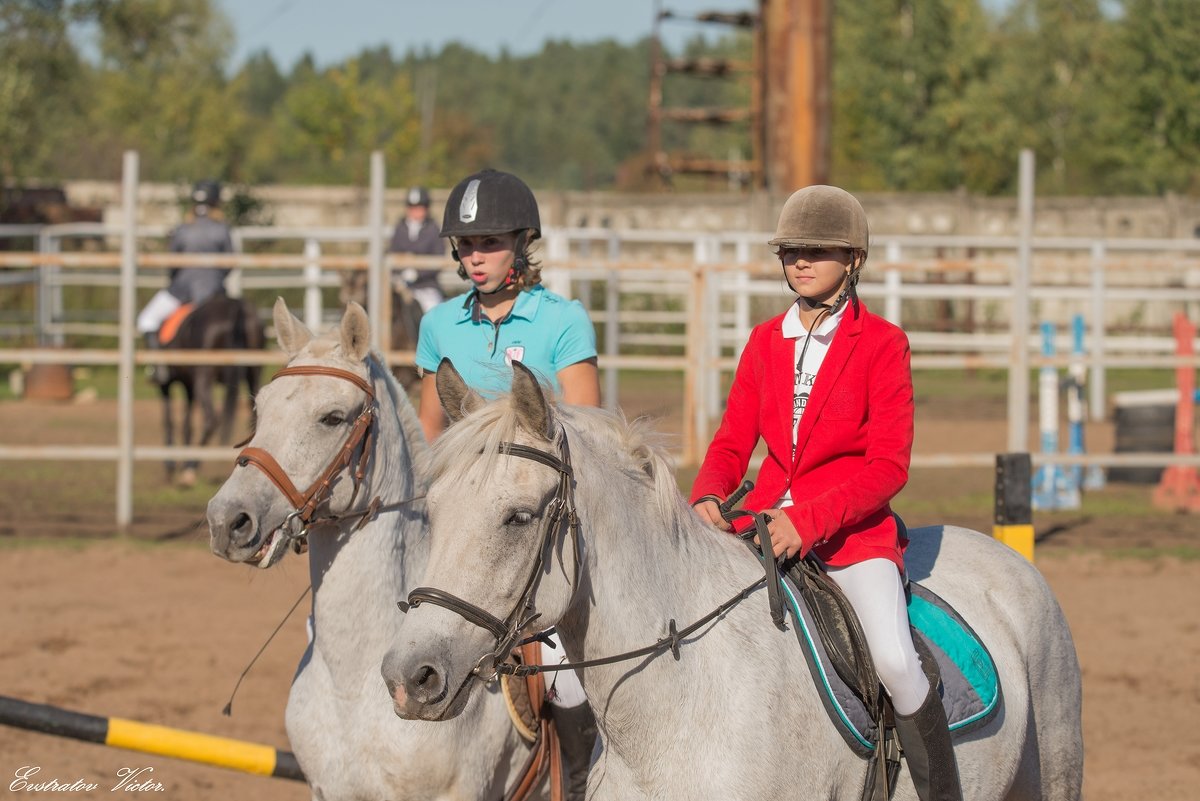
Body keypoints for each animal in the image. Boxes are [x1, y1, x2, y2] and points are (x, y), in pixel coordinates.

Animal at [154, 291, 265, 484]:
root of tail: (235, 306)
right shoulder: (188, 386)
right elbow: (186, 424)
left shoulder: (168, 385)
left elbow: (169, 421)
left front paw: (171, 467)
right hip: (253, 374)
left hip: (203, 377)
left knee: (211, 420)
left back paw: (189, 469)